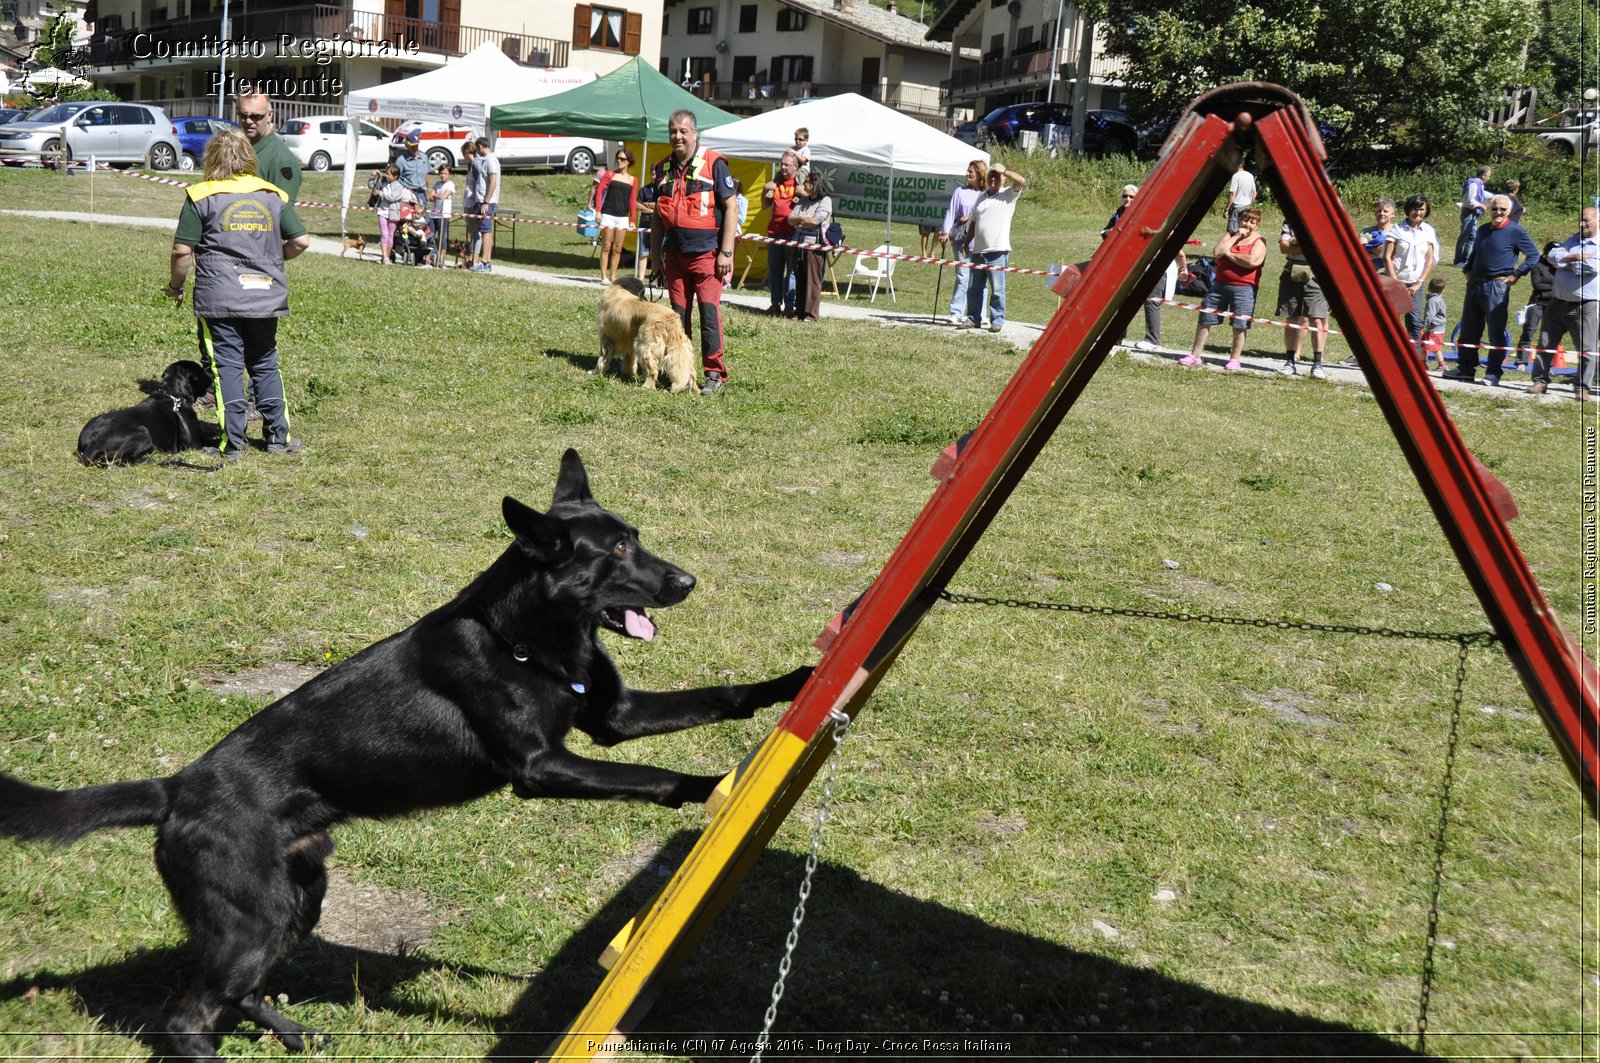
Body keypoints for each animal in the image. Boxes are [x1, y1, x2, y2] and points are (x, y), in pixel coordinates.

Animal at [0, 451, 806, 1063]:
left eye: (635, 537)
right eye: (613, 552)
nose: (687, 582)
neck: (528, 637)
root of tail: (174, 790)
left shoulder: (614, 718)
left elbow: (722, 695)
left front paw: (794, 684)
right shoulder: (543, 768)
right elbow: (653, 777)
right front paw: (718, 786)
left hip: (297, 900)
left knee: (240, 992)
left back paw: (300, 1035)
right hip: (252, 918)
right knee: (188, 1015)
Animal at [76, 361, 220, 464]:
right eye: (201, 370)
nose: (212, 376)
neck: (173, 394)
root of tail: (93, 445)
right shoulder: (194, 444)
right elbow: (213, 441)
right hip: (142, 432)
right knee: (121, 460)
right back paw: (150, 459)